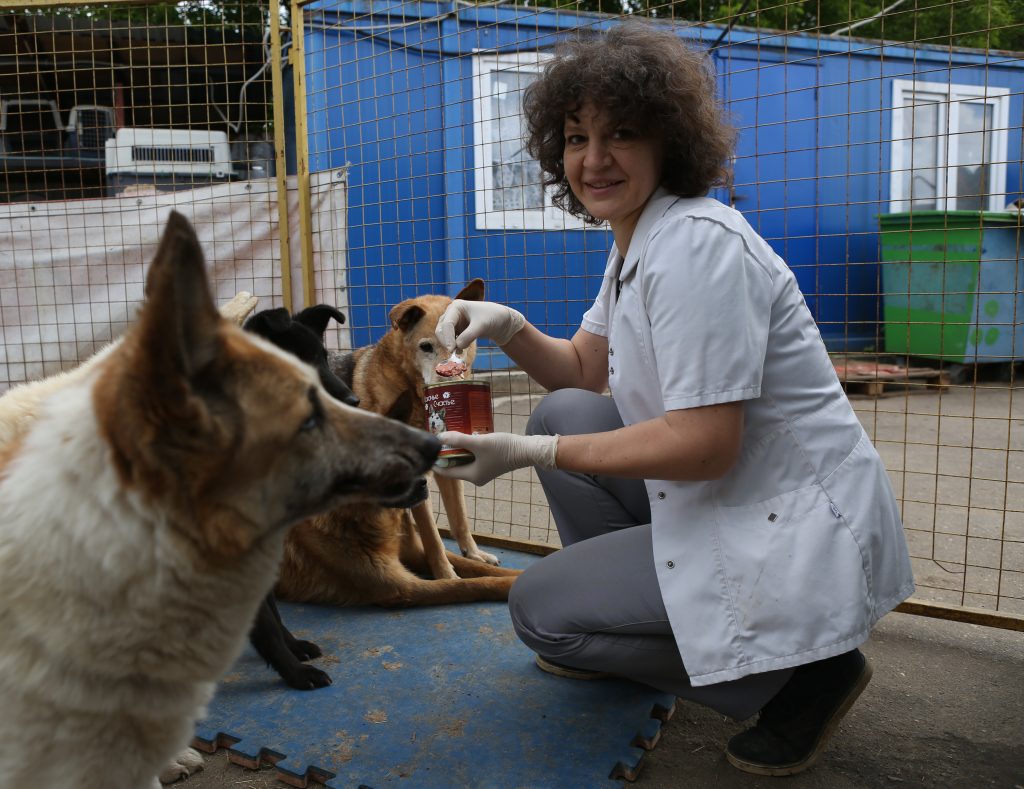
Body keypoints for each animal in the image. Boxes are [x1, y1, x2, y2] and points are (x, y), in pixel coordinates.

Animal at [241, 304, 358, 687]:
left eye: (323, 357)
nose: (354, 400)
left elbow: (272, 615)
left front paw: (294, 648)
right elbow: (264, 623)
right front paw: (293, 672)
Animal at [272, 280, 520, 609]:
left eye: (460, 346)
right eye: (426, 347)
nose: (446, 380)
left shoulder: (446, 469)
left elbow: (460, 519)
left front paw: (473, 554)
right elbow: (432, 537)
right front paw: (445, 573)